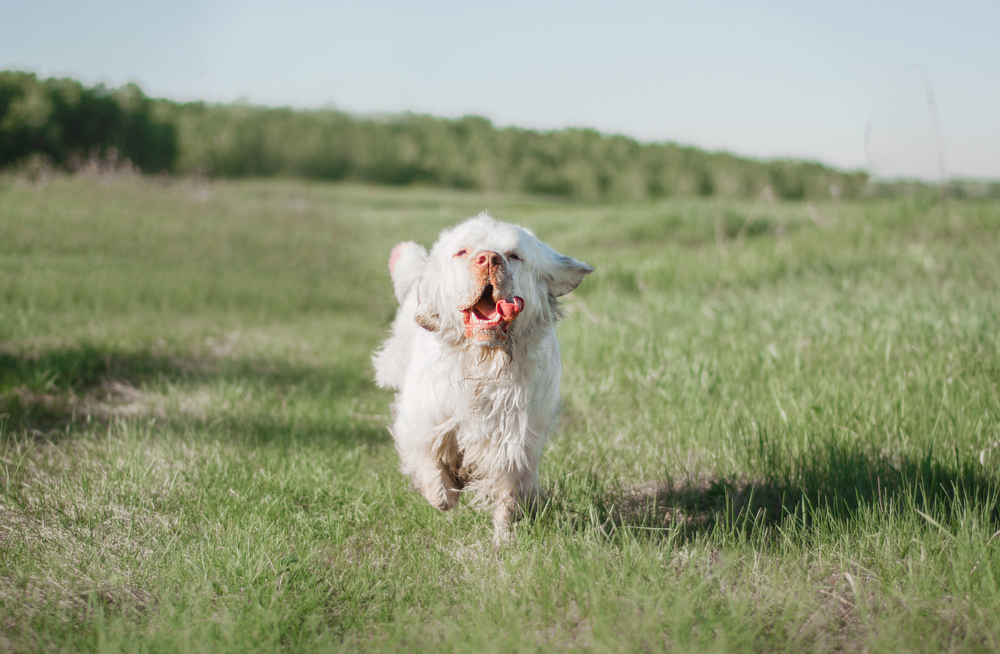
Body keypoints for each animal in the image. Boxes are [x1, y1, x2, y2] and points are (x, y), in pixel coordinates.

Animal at [376, 215, 592, 544]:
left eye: (514, 255)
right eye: (462, 252)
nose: (490, 258)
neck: (485, 363)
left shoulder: (514, 439)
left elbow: (507, 497)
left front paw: (503, 542)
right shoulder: (422, 419)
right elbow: (432, 471)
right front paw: (446, 490)